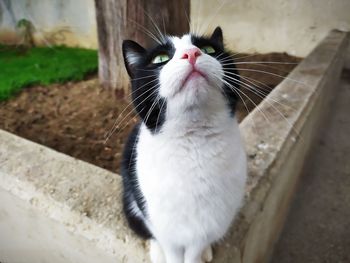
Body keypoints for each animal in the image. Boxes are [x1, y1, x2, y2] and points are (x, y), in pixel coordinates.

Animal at [121, 27, 247, 263]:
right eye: (160, 59)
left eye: (208, 49)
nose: (192, 53)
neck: (194, 143)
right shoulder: (160, 223)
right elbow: (171, 249)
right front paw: (167, 254)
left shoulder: (209, 222)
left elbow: (194, 250)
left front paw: (199, 254)